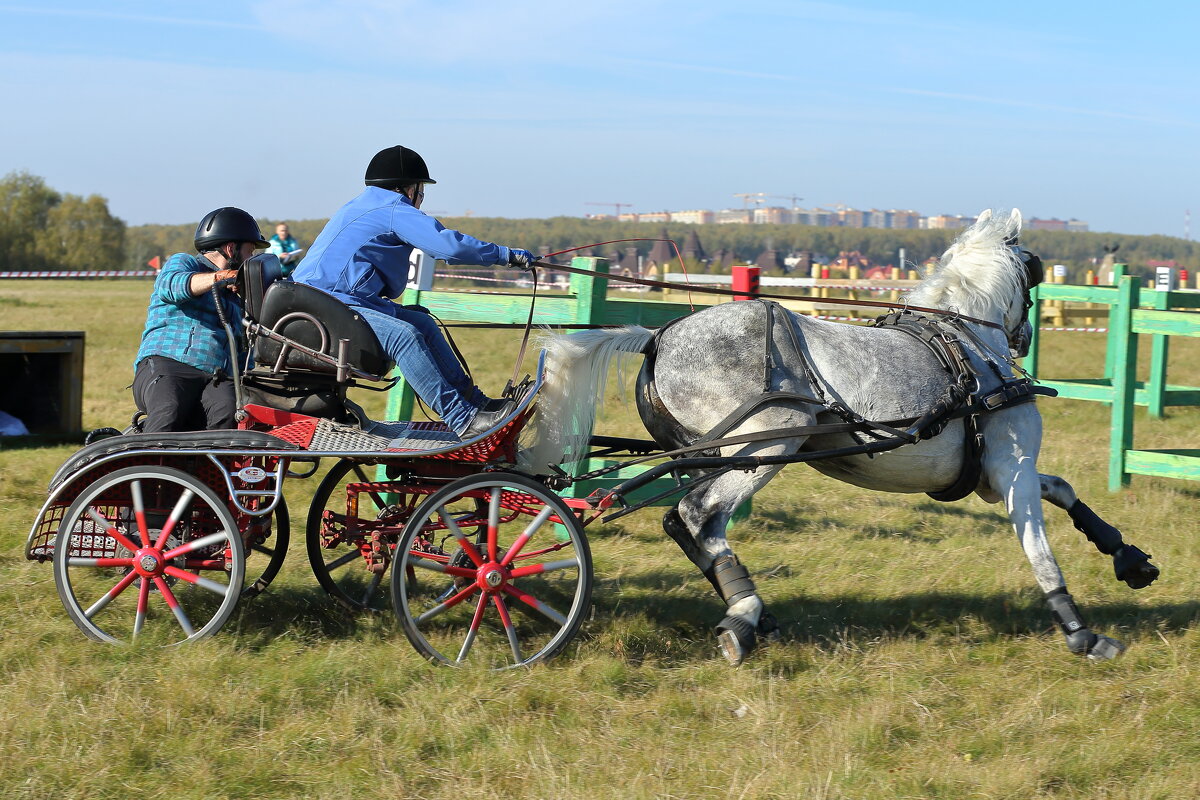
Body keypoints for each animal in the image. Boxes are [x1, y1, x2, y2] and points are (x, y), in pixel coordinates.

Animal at [523, 209, 1152, 666]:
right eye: (1035, 271)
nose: (1023, 337)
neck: (970, 347)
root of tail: (657, 338)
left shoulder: (989, 477)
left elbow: (1063, 489)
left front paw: (1129, 557)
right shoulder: (1012, 467)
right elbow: (1040, 548)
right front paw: (1081, 632)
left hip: (706, 456)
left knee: (685, 522)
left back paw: (752, 613)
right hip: (763, 449)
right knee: (699, 515)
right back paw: (743, 615)